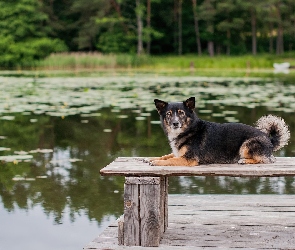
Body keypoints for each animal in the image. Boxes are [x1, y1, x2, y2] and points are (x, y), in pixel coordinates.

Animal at [147, 97, 290, 166]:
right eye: (169, 114)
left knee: (266, 160)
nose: (175, 123)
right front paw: (151, 158)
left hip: (246, 145)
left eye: (181, 113)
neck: (189, 129)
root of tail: (268, 138)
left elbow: (169, 160)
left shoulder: (189, 159)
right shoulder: (179, 154)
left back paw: (244, 161)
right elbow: (167, 155)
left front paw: (156, 162)